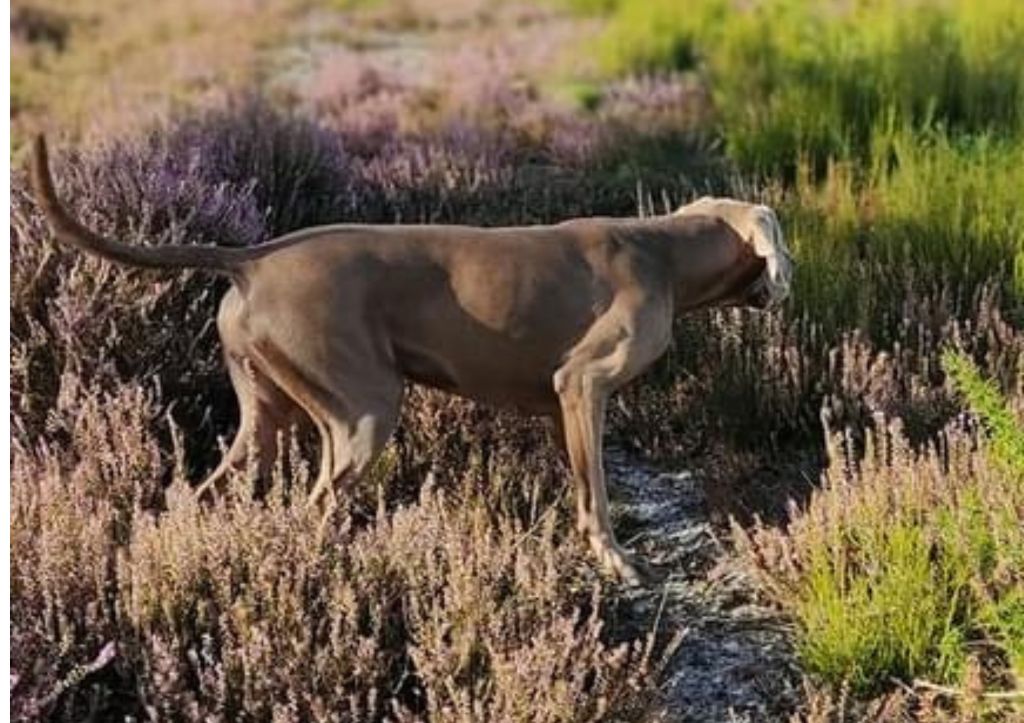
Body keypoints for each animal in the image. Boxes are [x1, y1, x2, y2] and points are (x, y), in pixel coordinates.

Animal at [25, 135, 790, 581]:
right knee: (316, 505)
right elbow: (596, 492)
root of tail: (251, 259)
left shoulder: (564, 405)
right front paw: (614, 560)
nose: (783, 286)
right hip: (363, 410)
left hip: (267, 413)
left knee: (207, 492)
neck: (662, 249)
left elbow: (580, 480)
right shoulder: (583, 383)